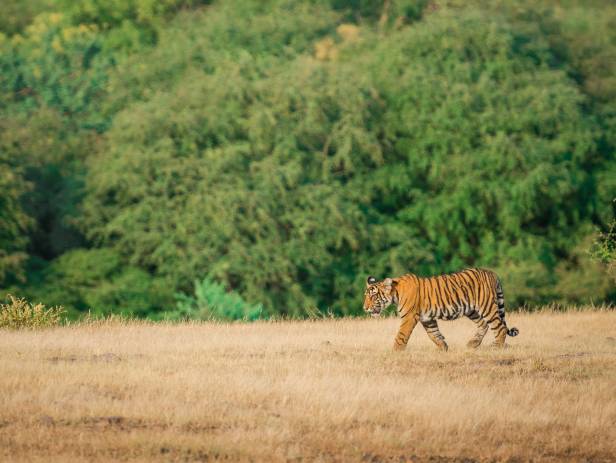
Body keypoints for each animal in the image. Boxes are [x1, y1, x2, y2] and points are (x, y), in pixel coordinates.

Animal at [364, 268, 516, 352]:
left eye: (373, 296)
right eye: (366, 296)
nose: (364, 308)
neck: (396, 293)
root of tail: (492, 273)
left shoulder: (409, 317)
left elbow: (401, 335)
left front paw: (394, 351)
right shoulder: (427, 319)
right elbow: (434, 334)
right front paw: (444, 348)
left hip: (487, 306)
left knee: (500, 327)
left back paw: (496, 347)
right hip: (471, 311)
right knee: (483, 324)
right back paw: (473, 344)